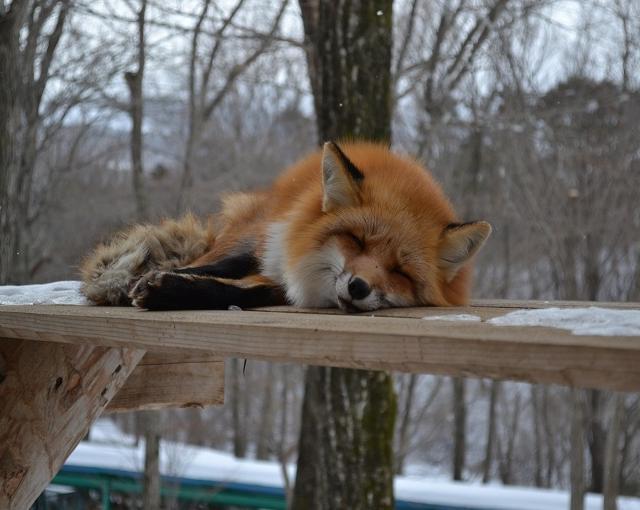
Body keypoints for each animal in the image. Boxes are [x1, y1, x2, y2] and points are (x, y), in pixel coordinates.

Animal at [80, 141, 490, 312]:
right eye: (356, 240)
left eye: (400, 272)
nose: (358, 287)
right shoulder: (269, 241)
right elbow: (220, 267)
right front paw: (153, 280)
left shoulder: (278, 285)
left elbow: (239, 292)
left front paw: (170, 291)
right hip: (253, 227)